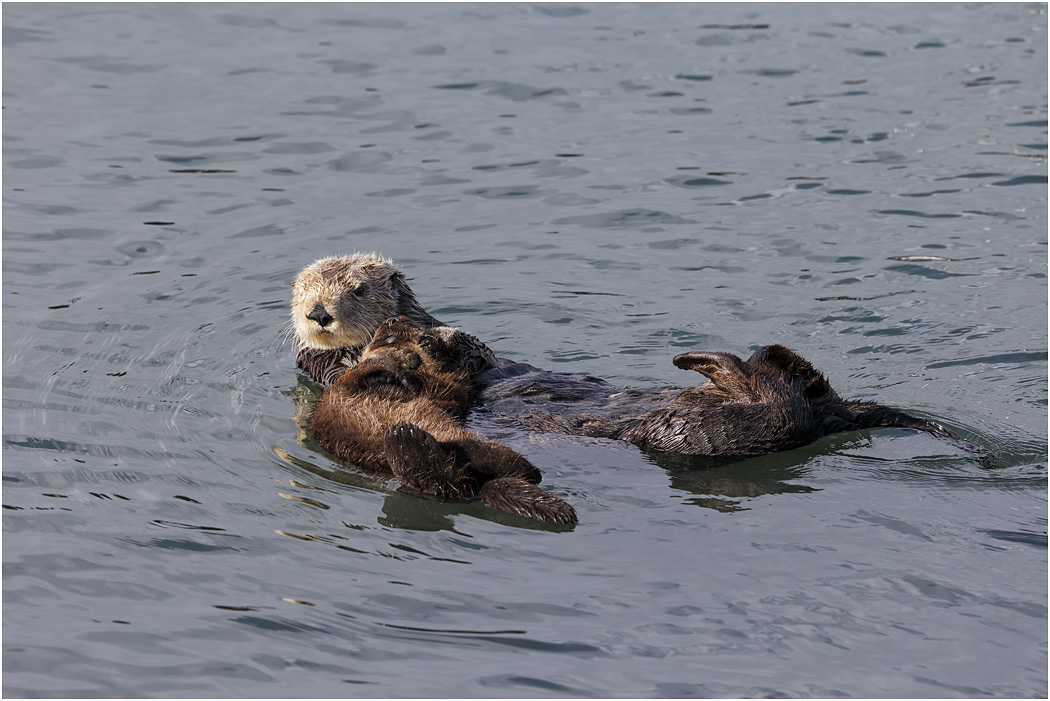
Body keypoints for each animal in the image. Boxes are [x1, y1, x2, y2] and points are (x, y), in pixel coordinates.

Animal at [291, 253, 494, 385]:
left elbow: (483, 353)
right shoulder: (322, 364)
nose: (319, 313)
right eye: (304, 291)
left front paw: (436, 339)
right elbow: (344, 377)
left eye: (359, 290)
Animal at [308, 316, 577, 525]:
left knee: (524, 471)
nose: (392, 319)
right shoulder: (346, 383)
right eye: (382, 335)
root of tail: (479, 485)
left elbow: (442, 387)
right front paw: (403, 360)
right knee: (449, 480)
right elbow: (365, 369)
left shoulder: (452, 387)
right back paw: (409, 438)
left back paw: (412, 438)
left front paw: (412, 366)